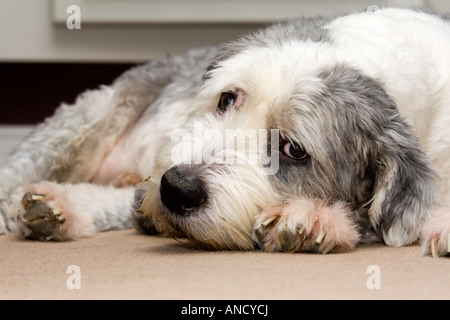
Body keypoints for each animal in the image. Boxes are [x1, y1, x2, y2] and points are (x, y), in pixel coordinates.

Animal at [0, 8, 450, 258]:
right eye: (227, 98)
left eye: (293, 149)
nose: (177, 188)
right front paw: (312, 217)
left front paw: (310, 218)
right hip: (87, 119)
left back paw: (58, 210)